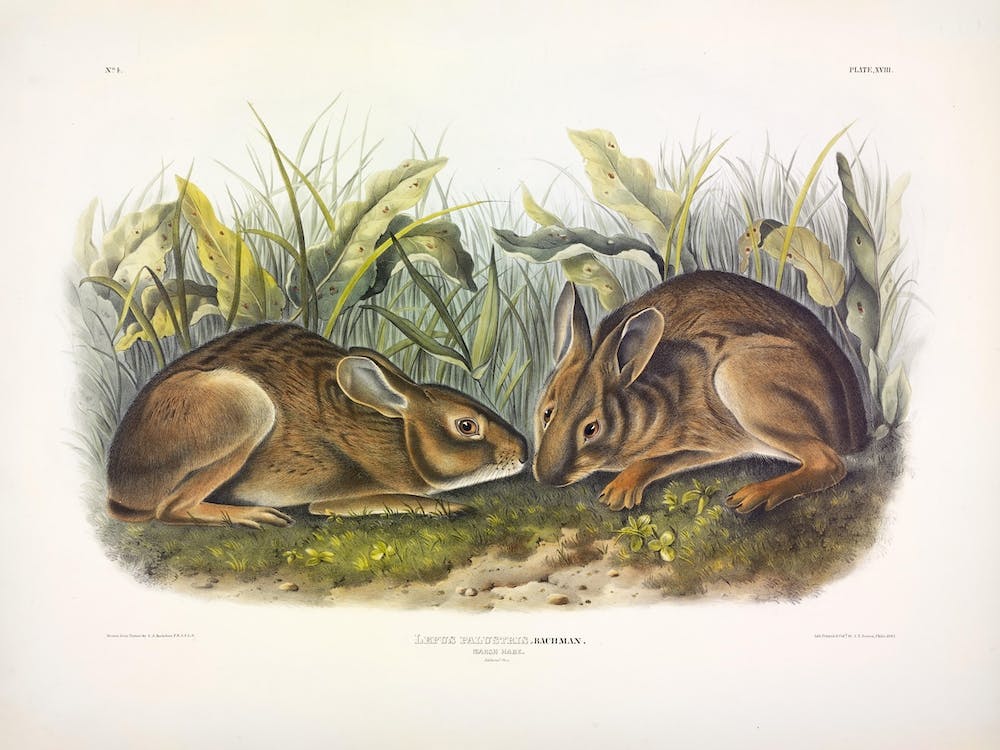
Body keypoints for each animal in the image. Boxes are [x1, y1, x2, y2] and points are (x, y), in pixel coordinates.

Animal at [106, 323, 528, 528]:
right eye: (467, 426)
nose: (525, 453)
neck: (399, 434)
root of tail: (117, 482)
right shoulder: (339, 494)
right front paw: (450, 507)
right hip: (248, 407)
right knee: (169, 509)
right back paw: (255, 517)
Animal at [533, 270, 867, 514]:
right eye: (547, 413)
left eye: (592, 429)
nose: (547, 478)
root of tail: (854, 432)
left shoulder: (709, 438)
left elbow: (655, 461)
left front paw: (618, 492)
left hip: (738, 379)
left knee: (830, 464)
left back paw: (753, 496)